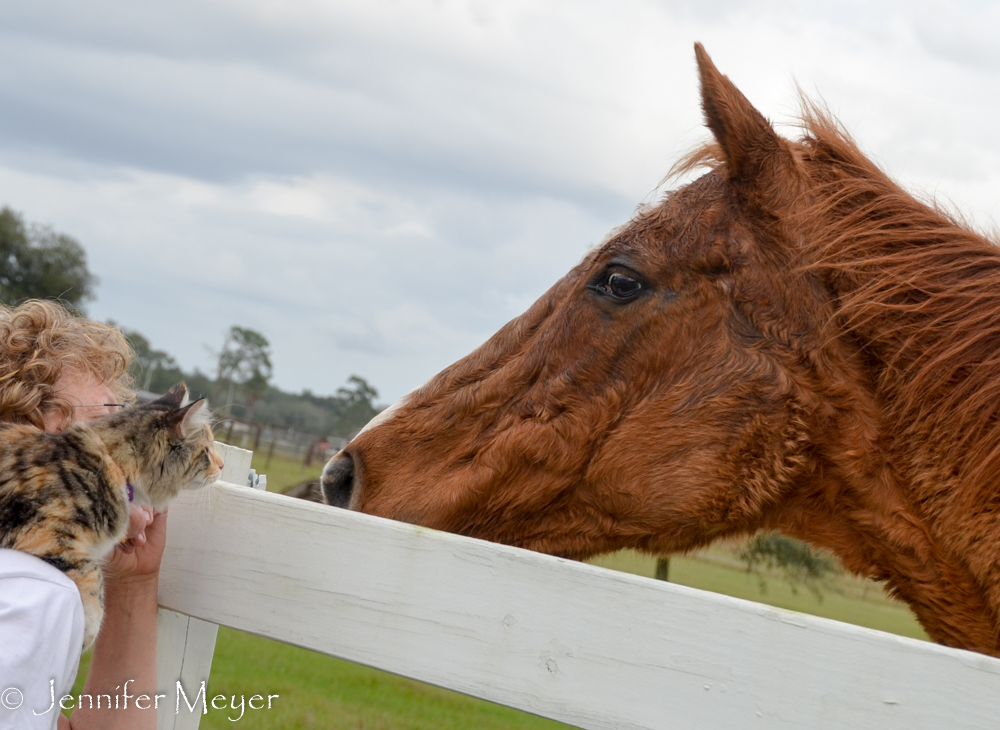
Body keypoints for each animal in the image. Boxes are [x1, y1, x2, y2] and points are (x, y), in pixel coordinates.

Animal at [0, 382, 221, 644]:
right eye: (207, 450)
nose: (222, 465)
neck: (111, 461)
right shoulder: (41, 529)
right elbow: (92, 572)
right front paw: (90, 629)